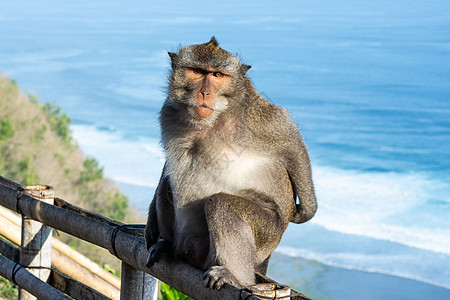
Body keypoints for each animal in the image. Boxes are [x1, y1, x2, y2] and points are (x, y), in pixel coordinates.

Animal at [144, 36, 316, 290]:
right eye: (197, 71)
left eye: (217, 75)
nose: (204, 92)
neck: (215, 117)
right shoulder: (168, 111)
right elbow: (169, 166)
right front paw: (150, 222)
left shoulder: (258, 118)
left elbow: (293, 145)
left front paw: (307, 210)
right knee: (167, 186)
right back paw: (167, 246)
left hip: (266, 235)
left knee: (221, 204)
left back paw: (236, 277)